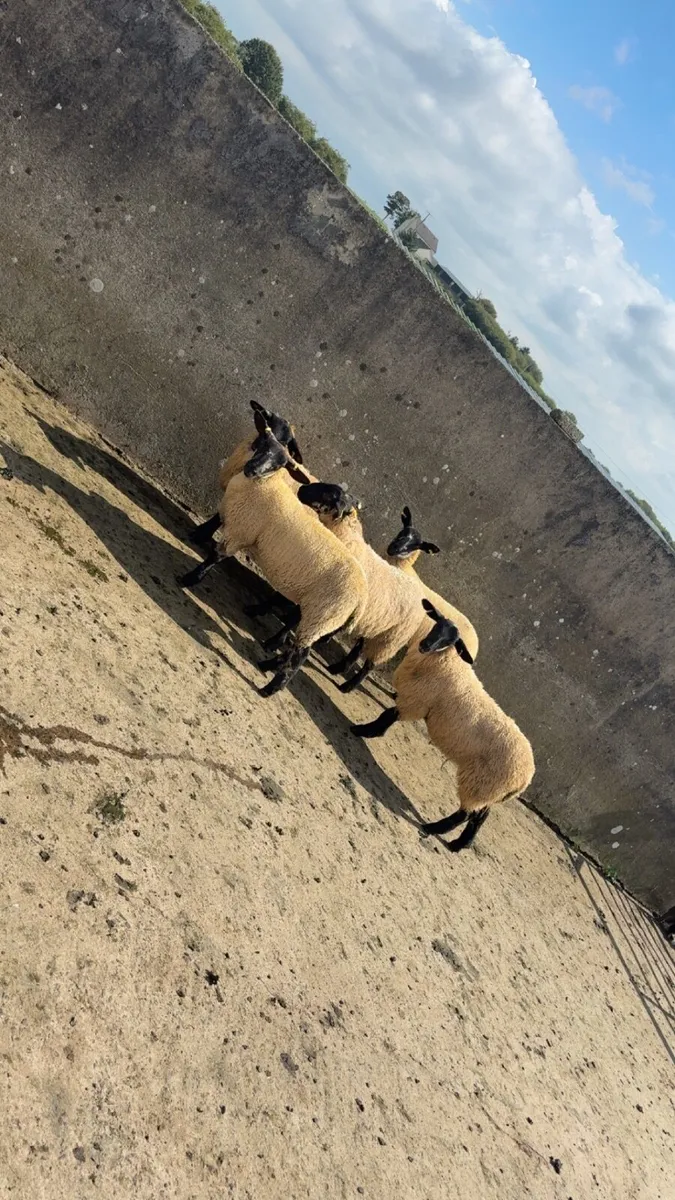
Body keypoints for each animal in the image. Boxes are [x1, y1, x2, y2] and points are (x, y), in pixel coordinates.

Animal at [177, 413, 368, 697]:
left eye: (281, 463)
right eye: (262, 444)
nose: (252, 470)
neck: (266, 484)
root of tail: (360, 600)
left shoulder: (242, 531)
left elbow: (214, 557)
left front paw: (188, 579)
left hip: (321, 614)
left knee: (300, 656)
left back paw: (270, 687)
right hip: (322, 617)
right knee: (297, 650)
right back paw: (266, 663)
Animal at [297, 482, 440, 693]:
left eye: (328, 495)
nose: (301, 489)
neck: (345, 536)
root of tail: (420, 593)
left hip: (391, 639)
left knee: (370, 665)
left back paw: (347, 686)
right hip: (377, 624)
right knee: (358, 649)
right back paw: (337, 668)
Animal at [351, 599, 535, 851]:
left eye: (451, 641)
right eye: (437, 624)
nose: (425, 645)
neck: (445, 663)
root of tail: (526, 778)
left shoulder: (417, 701)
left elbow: (387, 715)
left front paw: (362, 730)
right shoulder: (415, 701)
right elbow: (389, 716)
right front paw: (369, 732)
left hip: (481, 782)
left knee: (466, 814)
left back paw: (433, 829)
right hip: (489, 789)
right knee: (481, 816)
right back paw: (459, 844)